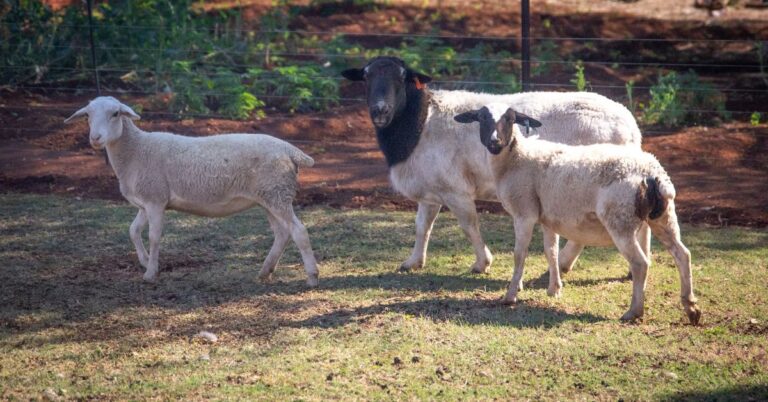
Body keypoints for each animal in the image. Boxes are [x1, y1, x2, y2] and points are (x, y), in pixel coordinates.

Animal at [64, 96, 319, 286]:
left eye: (116, 114)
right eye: (87, 115)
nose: (95, 138)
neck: (136, 150)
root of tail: (290, 149)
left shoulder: (155, 200)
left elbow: (153, 236)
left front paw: (151, 273)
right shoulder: (146, 201)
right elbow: (133, 231)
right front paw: (145, 261)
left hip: (277, 194)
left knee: (298, 231)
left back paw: (312, 276)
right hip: (269, 196)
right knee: (282, 233)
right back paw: (266, 271)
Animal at [341, 56, 643, 275]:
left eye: (402, 78)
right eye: (366, 77)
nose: (380, 110)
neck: (421, 120)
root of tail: (630, 126)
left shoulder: (455, 188)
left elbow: (468, 224)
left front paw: (482, 263)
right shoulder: (431, 187)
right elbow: (421, 226)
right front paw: (413, 261)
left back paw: (564, 263)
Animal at [454, 104, 701, 324]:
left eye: (510, 118)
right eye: (482, 118)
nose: (494, 142)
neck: (516, 157)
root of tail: (651, 174)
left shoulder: (524, 212)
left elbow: (519, 254)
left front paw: (511, 295)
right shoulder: (547, 216)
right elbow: (550, 251)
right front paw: (554, 289)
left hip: (620, 220)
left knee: (640, 263)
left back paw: (634, 312)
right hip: (664, 216)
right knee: (683, 254)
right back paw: (691, 307)